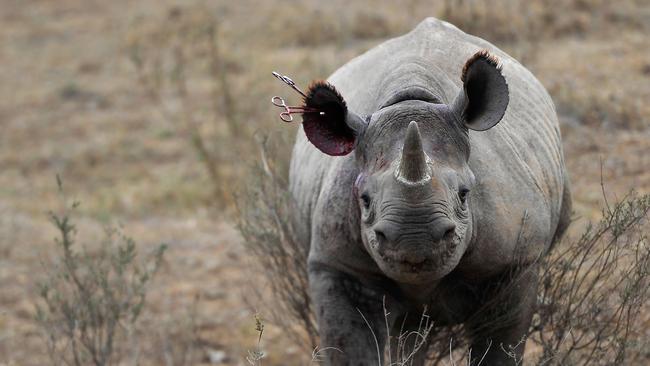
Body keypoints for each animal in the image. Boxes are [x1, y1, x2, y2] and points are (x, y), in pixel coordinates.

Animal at [288, 17, 568, 366]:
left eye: (465, 194)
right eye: (363, 200)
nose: (414, 241)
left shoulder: (514, 263)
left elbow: (500, 348)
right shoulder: (338, 265)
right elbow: (350, 350)